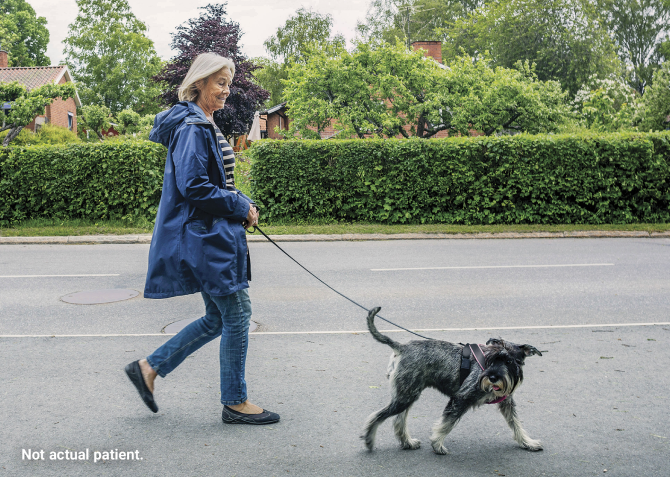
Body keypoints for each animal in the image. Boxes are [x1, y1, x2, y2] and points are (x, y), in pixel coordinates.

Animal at [362, 306, 544, 452]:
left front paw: (528, 443)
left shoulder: (507, 403)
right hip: (405, 396)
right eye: (492, 358)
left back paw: (407, 442)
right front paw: (437, 444)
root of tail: (402, 347)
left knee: (399, 420)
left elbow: (516, 424)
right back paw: (369, 440)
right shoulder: (461, 398)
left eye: (510, 361)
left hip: (407, 395)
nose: (493, 377)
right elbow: (446, 424)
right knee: (377, 416)